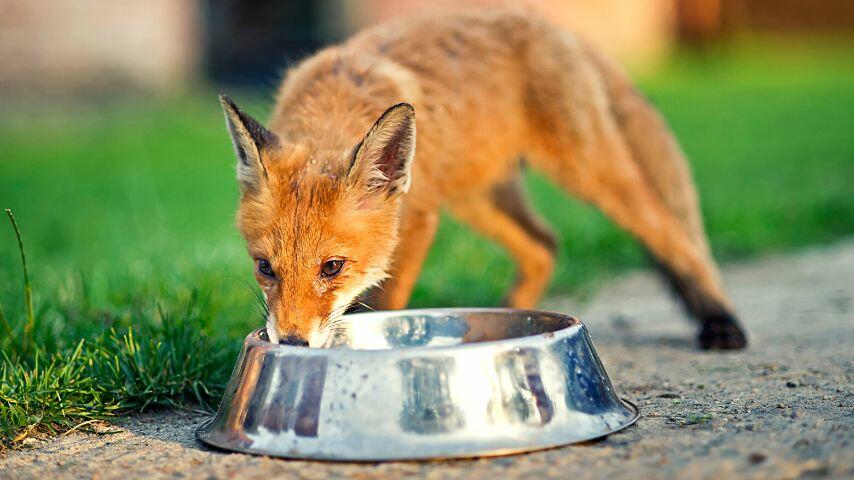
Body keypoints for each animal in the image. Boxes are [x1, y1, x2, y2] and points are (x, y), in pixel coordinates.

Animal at [221, 6, 748, 348]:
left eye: (332, 267)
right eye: (265, 267)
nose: (291, 344)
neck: (336, 106)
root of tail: (555, 29)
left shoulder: (418, 219)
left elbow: (388, 303)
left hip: (589, 173)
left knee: (674, 235)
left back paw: (721, 320)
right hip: (478, 198)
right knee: (545, 245)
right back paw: (513, 314)